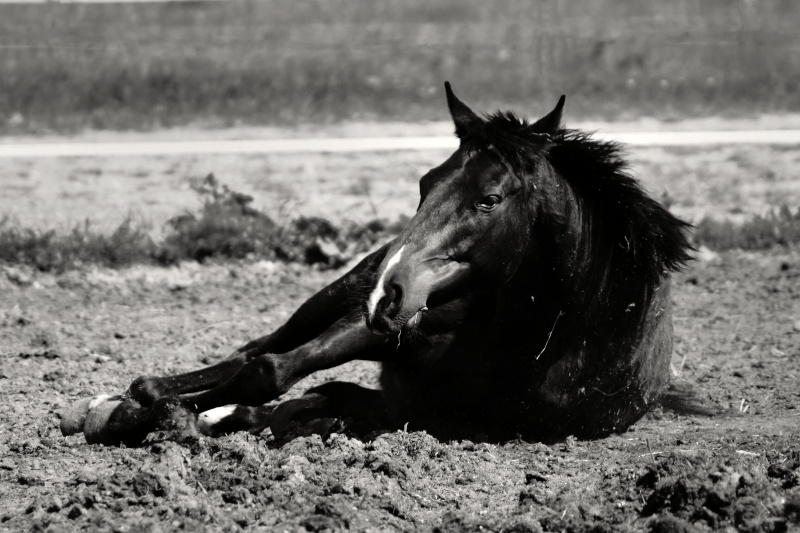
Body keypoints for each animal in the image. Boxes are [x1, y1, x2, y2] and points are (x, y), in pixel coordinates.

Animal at [59, 80, 692, 444]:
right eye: (425, 182)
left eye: (489, 199)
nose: (391, 289)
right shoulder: (383, 332)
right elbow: (272, 370)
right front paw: (135, 409)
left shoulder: (426, 405)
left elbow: (311, 397)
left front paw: (191, 417)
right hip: (337, 296)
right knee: (258, 349)